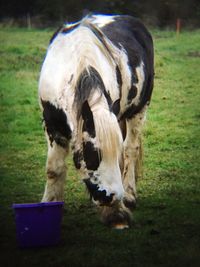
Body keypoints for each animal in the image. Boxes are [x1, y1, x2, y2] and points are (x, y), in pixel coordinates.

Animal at [38, 13, 154, 229]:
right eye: (93, 153)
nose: (112, 196)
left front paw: (117, 213)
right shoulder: (52, 125)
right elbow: (54, 169)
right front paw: (47, 205)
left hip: (140, 109)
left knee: (131, 149)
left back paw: (130, 194)